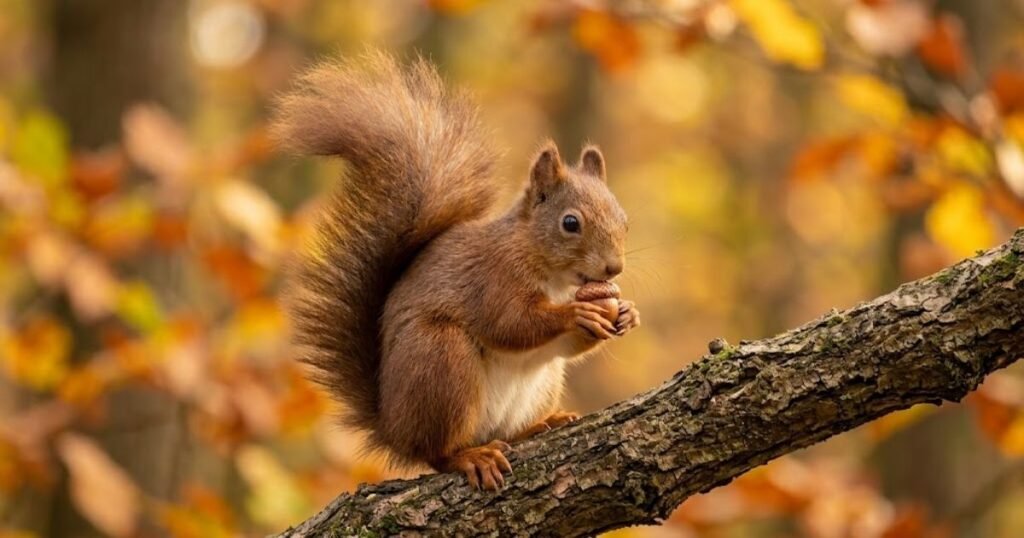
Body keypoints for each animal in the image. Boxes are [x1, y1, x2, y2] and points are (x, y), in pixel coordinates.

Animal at [272, 52, 640, 490]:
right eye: (570, 223)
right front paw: (577, 313)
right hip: (443, 363)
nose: (614, 267)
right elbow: (511, 324)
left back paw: (538, 425)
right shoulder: (493, 278)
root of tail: (393, 428)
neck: (554, 277)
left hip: (541, 382)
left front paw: (627, 313)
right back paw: (470, 456)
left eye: (624, 218)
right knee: (437, 453)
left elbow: (567, 345)